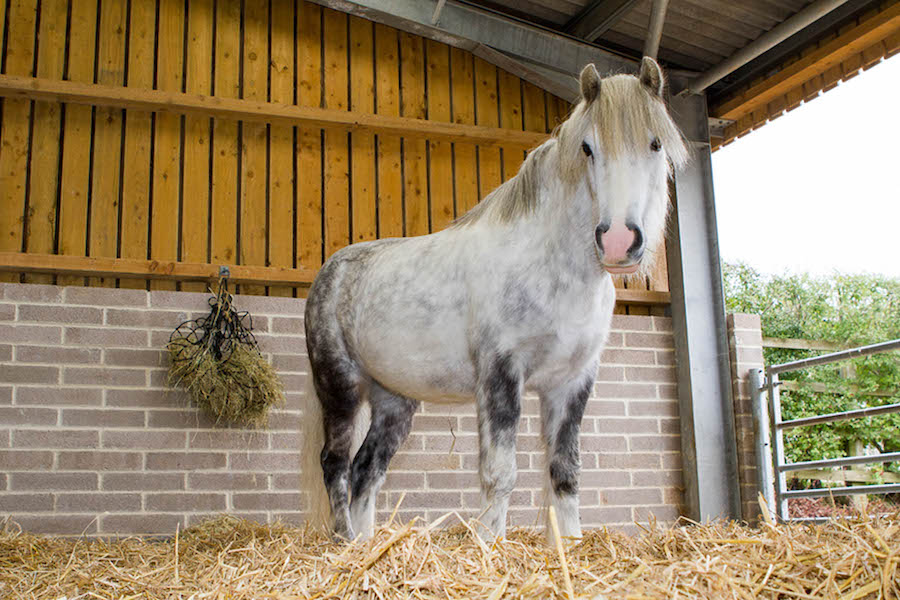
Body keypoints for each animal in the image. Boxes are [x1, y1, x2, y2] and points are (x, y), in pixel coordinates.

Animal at [302, 58, 688, 540]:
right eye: (587, 148)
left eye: (655, 143)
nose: (618, 241)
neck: (549, 264)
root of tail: (330, 272)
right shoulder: (501, 374)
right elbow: (499, 474)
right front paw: (489, 544)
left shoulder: (572, 383)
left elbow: (565, 473)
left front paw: (570, 544)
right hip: (340, 388)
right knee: (335, 463)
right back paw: (345, 541)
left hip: (394, 401)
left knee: (366, 469)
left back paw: (366, 544)